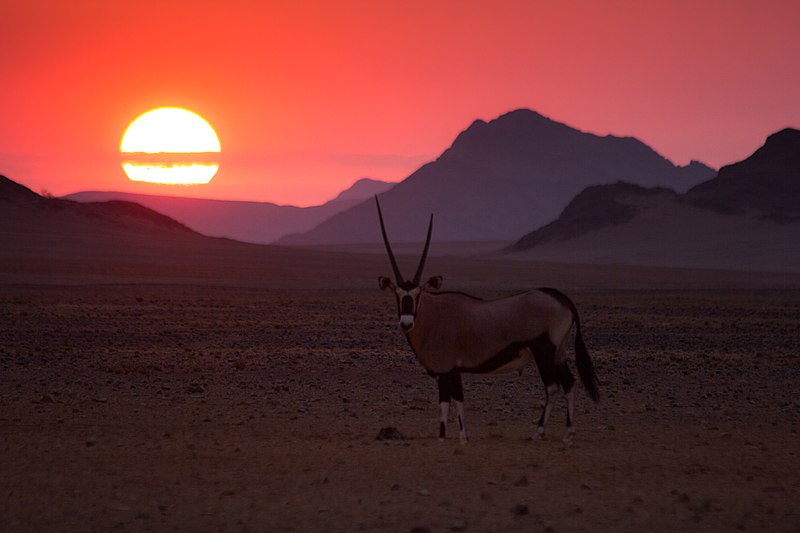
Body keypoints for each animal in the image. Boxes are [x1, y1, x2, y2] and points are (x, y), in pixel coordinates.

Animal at [376, 197, 600, 442]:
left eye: (417, 294)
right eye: (397, 294)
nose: (406, 322)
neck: (433, 315)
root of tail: (562, 299)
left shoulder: (445, 371)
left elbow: (447, 403)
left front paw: (446, 438)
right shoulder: (453, 372)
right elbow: (456, 402)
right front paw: (461, 437)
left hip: (545, 352)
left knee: (552, 386)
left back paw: (538, 431)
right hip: (558, 353)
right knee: (569, 383)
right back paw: (568, 432)